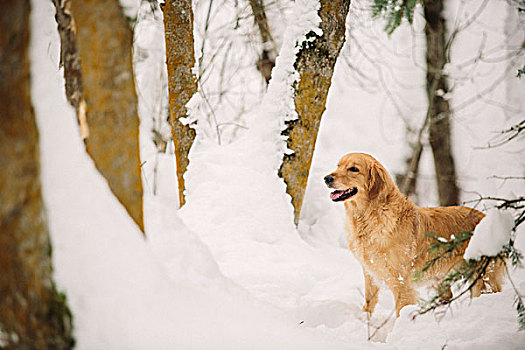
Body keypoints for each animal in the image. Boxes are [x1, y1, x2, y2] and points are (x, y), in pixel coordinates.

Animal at [324, 153, 504, 318]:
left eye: (354, 169)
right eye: (338, 166)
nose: (327, 178)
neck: (370, 216)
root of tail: (488, 218)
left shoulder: (402, 282)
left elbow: (401, 310)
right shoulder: (370, 273)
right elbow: (369, 303)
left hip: (483, 279)